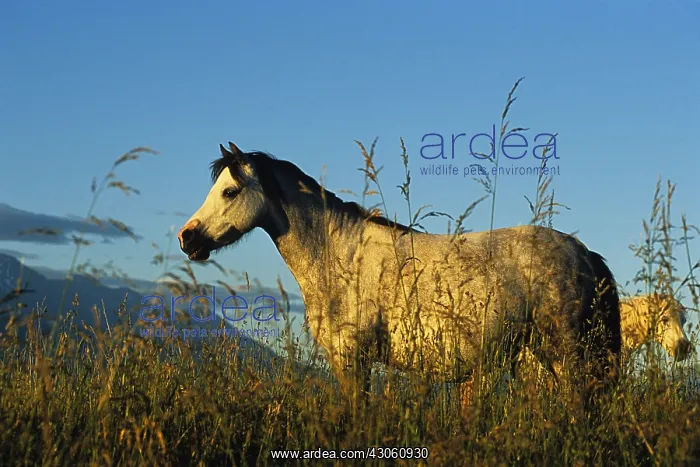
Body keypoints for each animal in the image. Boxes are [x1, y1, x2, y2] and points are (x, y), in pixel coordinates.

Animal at [177, 141, 622, 411]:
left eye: (230, 192)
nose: (187, 237)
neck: (340, 255)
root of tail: (583, 253)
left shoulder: (352, 358)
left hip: (566, 353)